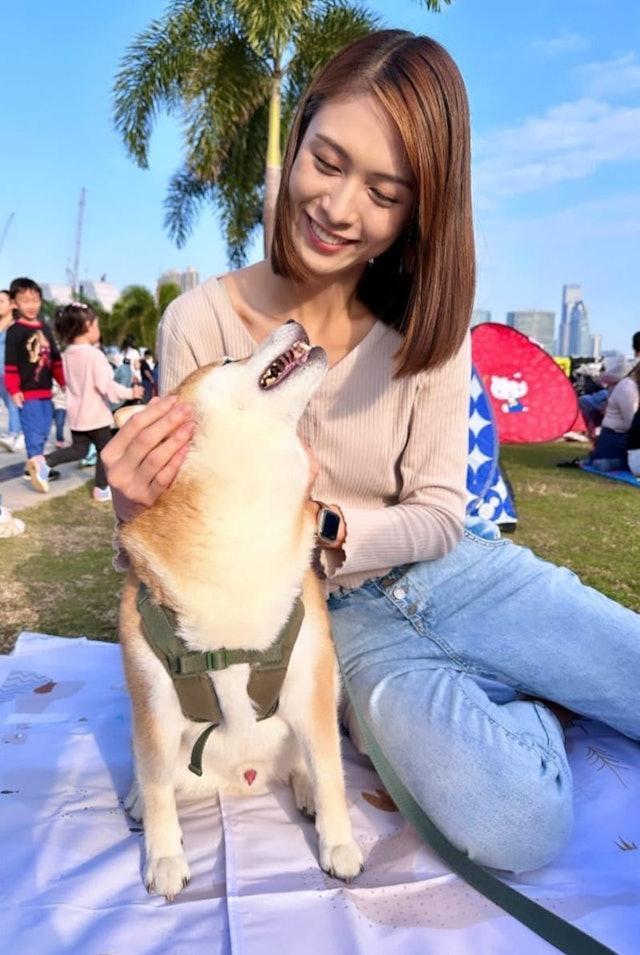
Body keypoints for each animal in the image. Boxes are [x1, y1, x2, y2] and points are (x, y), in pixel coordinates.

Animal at [117, 324, 362, 900]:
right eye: (229, 358)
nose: (295, 325)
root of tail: (243, 779)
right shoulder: (153, 705)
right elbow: (157, 787)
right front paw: (164, 855)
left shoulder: (311, 683)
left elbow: (331, 771)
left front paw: (338, 842)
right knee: (151, 773)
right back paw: (136, 800)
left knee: (305, 763)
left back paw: (305, 790)